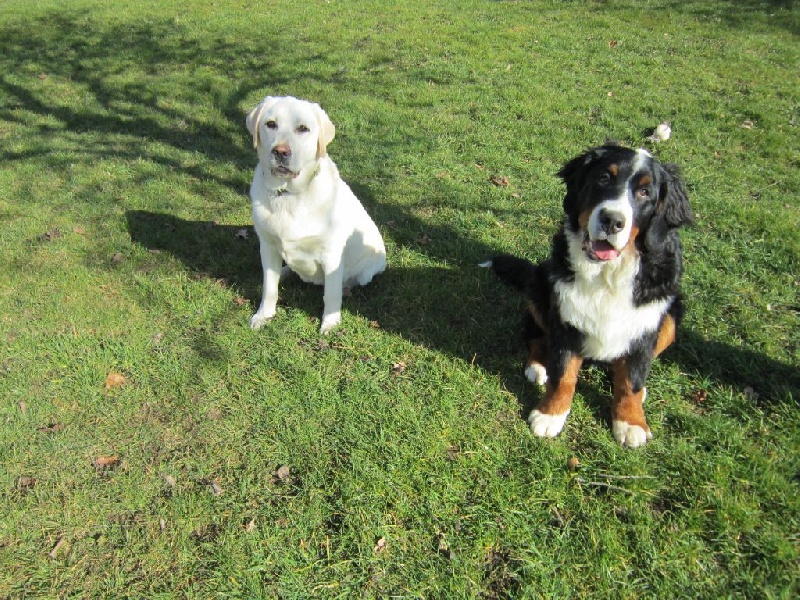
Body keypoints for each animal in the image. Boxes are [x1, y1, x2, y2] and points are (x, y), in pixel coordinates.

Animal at [482, 143, 692, 448]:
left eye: (644, 192)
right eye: (603, 178)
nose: (612, 220)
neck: (607, 274)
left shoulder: (646, 324)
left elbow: (631, 381)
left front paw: (631, 421)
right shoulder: (567, 319)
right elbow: (563, 376)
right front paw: (550, 414)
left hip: (672, 316)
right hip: (540, 286)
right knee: (536, 337)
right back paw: (538, 366)